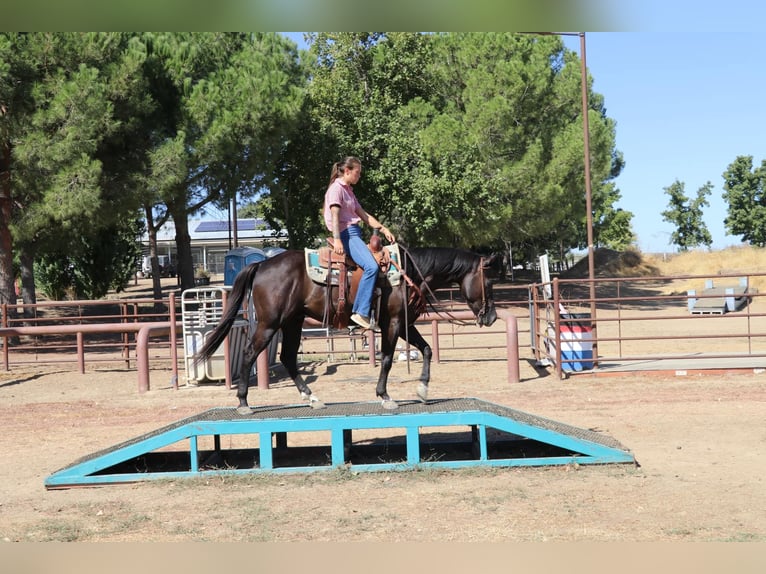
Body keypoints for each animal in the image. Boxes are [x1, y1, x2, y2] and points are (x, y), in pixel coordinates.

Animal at [196, 246, 500, 415]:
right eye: (489, 283)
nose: (493, 317)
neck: (408, 273)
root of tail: (261, 264)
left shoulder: (405, 324)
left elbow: (426, 349)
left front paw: (423, 389)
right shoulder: (392, 323)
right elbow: (387, 359)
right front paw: (385, 396)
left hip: (292, 322)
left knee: (289, 358)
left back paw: (311, 398)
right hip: (270, 323)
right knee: (250, 353)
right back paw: (244, 402)